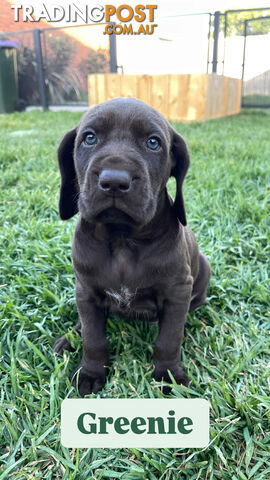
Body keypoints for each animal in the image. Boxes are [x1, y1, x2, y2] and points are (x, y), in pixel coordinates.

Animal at [53, 96, 211, 394]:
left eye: (153, 142)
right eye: (89, 138)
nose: (114, 180)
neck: (122, 239)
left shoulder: (177, 290)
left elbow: (168, 339)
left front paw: (168, 376)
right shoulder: (86, 289)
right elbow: (93, 337)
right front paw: (90, 372)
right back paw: (70, 338)